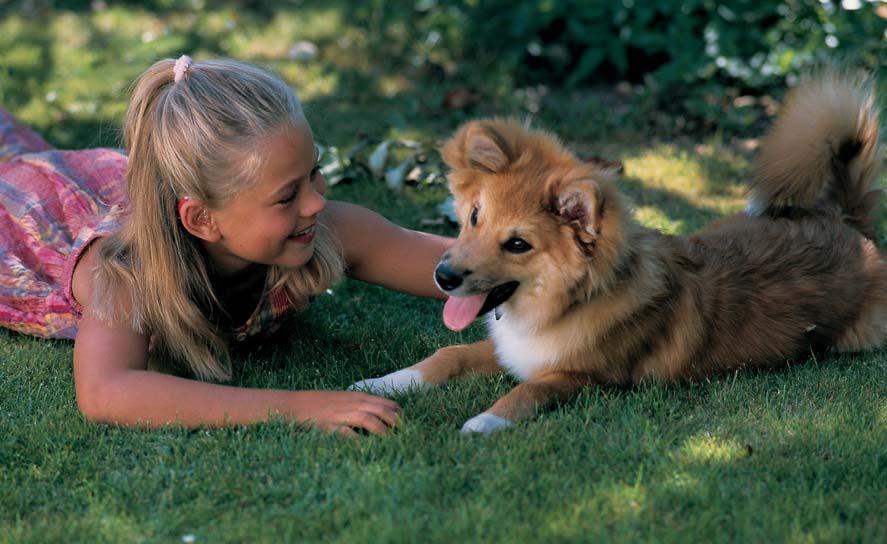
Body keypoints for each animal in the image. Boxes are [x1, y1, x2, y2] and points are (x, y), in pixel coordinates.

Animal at [350, 74, 884, 436]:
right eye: (475, 216)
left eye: (518, 244)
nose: (442, 276)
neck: (568, 303)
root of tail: (847, 221)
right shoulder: (514, 351)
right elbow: (449, 354)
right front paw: (385, 383)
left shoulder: (587, 375)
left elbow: (530, 390)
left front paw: (485, 421)